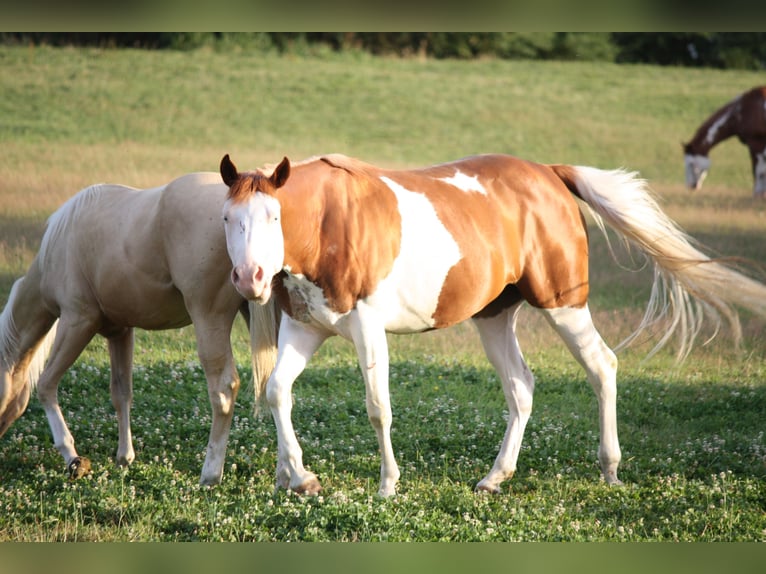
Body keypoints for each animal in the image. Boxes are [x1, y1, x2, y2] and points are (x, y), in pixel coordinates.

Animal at [0, 172, 277, 484]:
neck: (58, 244)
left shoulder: (77, 321)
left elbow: (47, 384)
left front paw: (72, 457)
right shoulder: (119, 332)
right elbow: (121, 393)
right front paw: (124, 457)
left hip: (209, 319)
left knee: (223, 389)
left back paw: (210, 473)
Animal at [219, 152, 766, 497]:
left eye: (273, 217)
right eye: (228, 218)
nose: (249, 278)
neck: (331, 222)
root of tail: (550, 174)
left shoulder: (368, 329)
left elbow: (378, 408)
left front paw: (387, 485)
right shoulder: (305, 329)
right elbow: (278, 393)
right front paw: (298, 477)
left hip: (564, 305)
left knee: (602, 367)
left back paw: (610, 469)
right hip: (495, 318)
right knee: (521, 387)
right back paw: (495, 477)